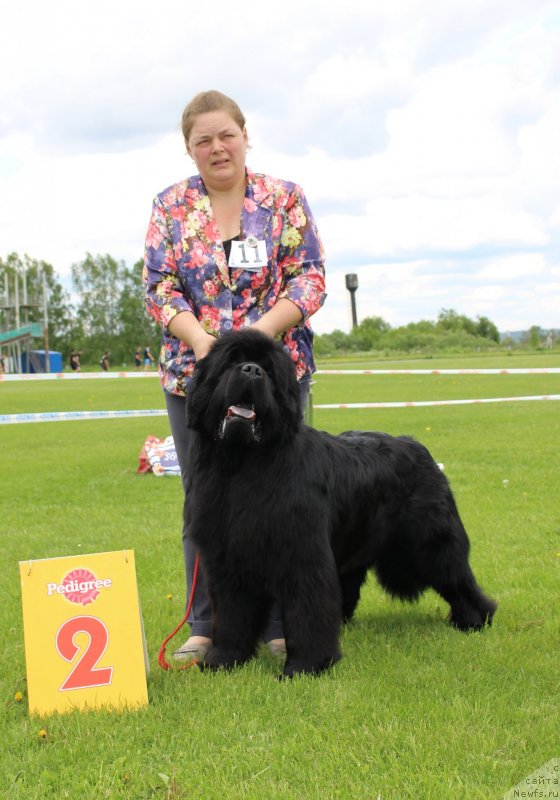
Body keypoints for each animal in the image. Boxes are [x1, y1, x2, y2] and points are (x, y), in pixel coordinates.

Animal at [184, 330, 494, 676]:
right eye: (232, 362)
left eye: (269, 370)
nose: (251, 370)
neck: (243, 465)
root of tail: (419, 447)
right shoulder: (227, 559)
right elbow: (231, 614)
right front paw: (224, 660)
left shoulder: (303, 555)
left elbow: (307, 610)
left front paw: (305, 666)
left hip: (428, 544)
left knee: (458, 579)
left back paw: (474, 620)